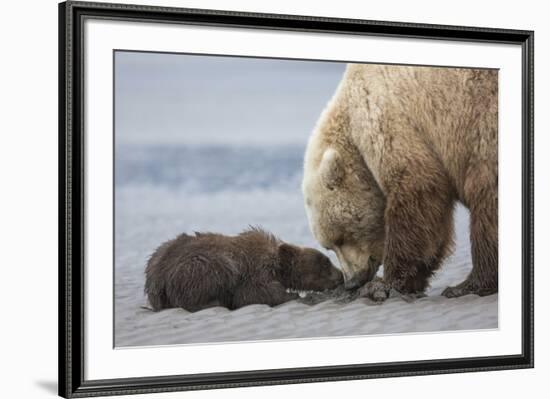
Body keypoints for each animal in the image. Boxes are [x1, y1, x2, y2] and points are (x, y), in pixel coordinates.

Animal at [302, 63, 500, 300]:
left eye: (341, 238)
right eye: (329, 246)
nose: (351, 281)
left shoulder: (387, 117)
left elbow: (417, 191)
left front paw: (386, 283)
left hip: (483, 124)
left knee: (485, 197)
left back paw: (468, 285)